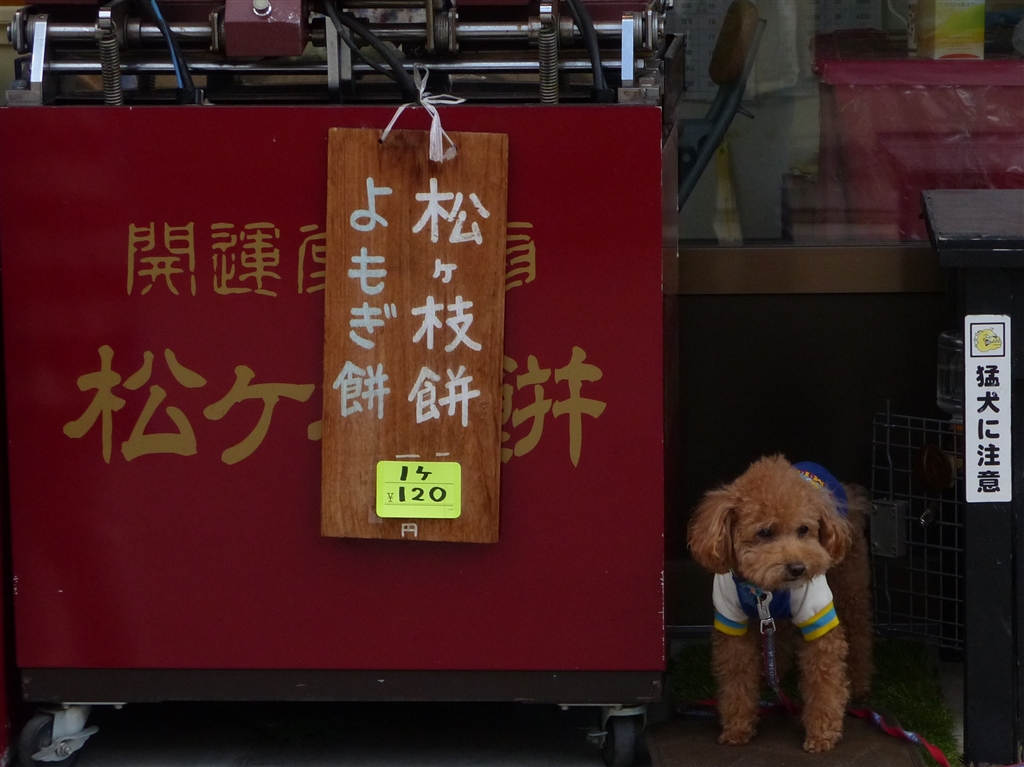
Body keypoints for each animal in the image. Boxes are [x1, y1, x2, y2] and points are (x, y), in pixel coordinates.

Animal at [687, 455, 873, 753]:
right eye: (764, 532)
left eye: (804, 529)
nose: (798, 568)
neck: (765, 590)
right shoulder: (731, 620)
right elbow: (736, 677)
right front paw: (737, 727)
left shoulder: (817, 615)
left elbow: (825, 680)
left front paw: (822, 734)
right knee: (781, 634)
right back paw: (773, 673)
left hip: (850, 580)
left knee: (858, 631)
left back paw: (859, 685)